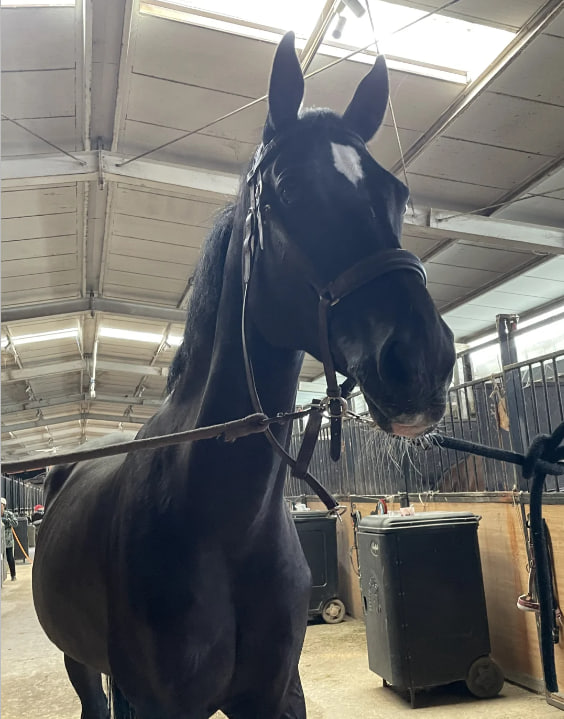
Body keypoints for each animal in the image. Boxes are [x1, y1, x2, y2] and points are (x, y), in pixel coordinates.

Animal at [32, 32, 456, 719]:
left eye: (395, 191)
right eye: (289, 186)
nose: (421, 360)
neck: (218, 522)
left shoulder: (276, 694)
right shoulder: (150, 702)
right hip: (80, 663)